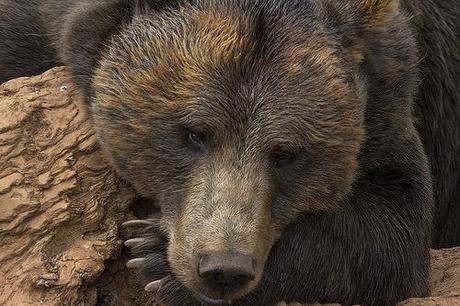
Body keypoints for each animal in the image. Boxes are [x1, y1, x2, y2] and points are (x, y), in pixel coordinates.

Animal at [0, 0, 458, 306]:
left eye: (286, 153)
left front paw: (154, 261)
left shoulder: (388, 106)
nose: (223, 269)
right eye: (194, 133)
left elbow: (391, 232)